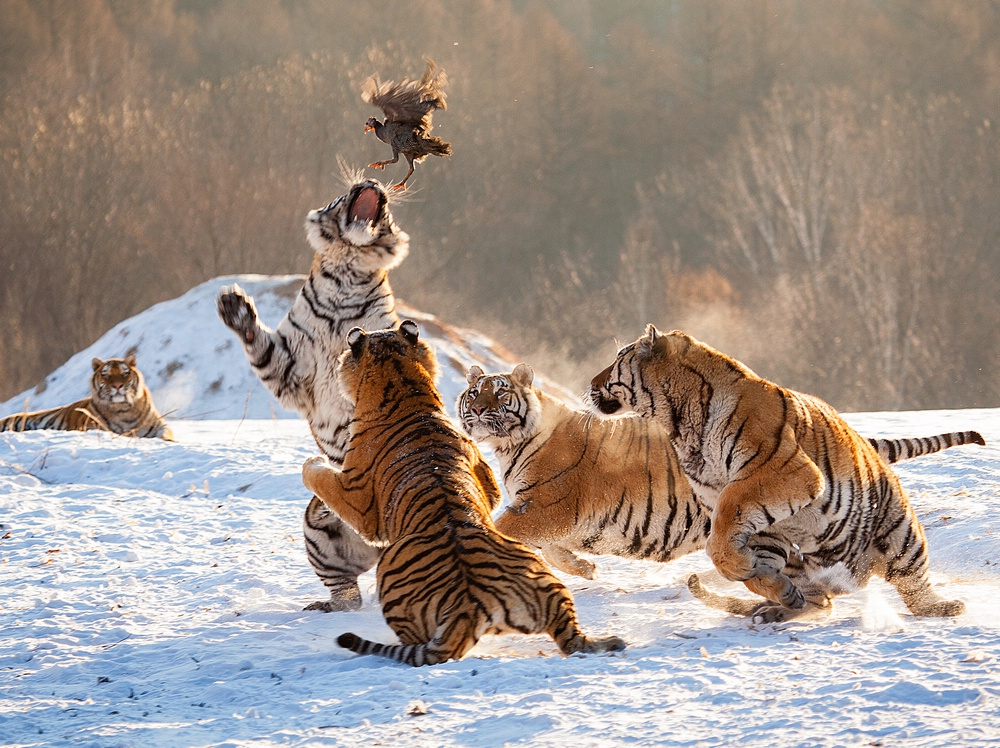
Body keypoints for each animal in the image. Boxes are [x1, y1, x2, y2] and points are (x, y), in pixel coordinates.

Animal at [0, 356, 174, 438]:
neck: (123, 409)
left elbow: (165, 434)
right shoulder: (90, 427)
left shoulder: (159, 425)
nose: (118, 386)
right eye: (106, 374)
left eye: (124, 373)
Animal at [219, 178, 406, 612]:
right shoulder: (291, 367)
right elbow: (262, 349)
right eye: (344, 195)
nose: (372, 181)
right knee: (347, 591)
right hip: (318, 526)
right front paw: (236, 309)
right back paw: (328, 606)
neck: (347, 278)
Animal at [300, 322, 624, 668]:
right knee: (572, 638)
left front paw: (313, 463)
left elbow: (318, 476)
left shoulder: (358, 500)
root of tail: (468, 606)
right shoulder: (487, 480)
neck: (402, 386)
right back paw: (612, 640)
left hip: (390, 573)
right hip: (546, 582)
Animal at [458, 362, 984, 584]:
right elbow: (551, 548)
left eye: (499, 393)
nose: (478, 411)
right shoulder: (547, 514)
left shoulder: (550, 505)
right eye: (473, 393)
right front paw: (584, 568)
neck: (508, 447)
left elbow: (509, 528)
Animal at [588, 328, 972, 624]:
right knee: (822, 601)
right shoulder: (763, 525)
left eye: (619, 357)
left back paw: (945, 607)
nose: (591, 382)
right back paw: (783, 607)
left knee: (913, 585)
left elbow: (721, 534)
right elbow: (741, 560)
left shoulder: (779, 472)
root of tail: (858, 573)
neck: (679, 425)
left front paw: (743, 568)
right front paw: (769, 584)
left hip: (901, 533)